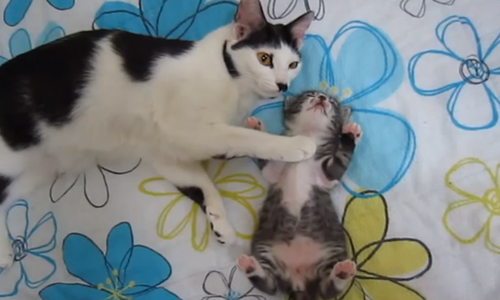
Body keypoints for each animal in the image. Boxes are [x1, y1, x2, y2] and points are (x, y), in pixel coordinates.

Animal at [0, 0, 314, 268]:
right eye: (265, 58)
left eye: (293, 64)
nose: (283, 85)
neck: (232, 81)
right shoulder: (183, 127)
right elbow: (241, 138)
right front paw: (294, 145)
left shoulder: (163, 150)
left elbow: (201, 181)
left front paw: (219, 220)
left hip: (33, 173)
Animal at [236, 91, 362, 300]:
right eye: (310, 94)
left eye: (333, 102)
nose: (322, 98)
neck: (309, 137)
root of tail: (299, 279)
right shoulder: (274, 170)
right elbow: (267, 158)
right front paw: (256, 128)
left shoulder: (328, 176)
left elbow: (341, 159)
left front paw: (350, 134)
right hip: (266, 250)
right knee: (270, 285)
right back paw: (251, 267)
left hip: (331, 252)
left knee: (326, 289)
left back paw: (342, 272)